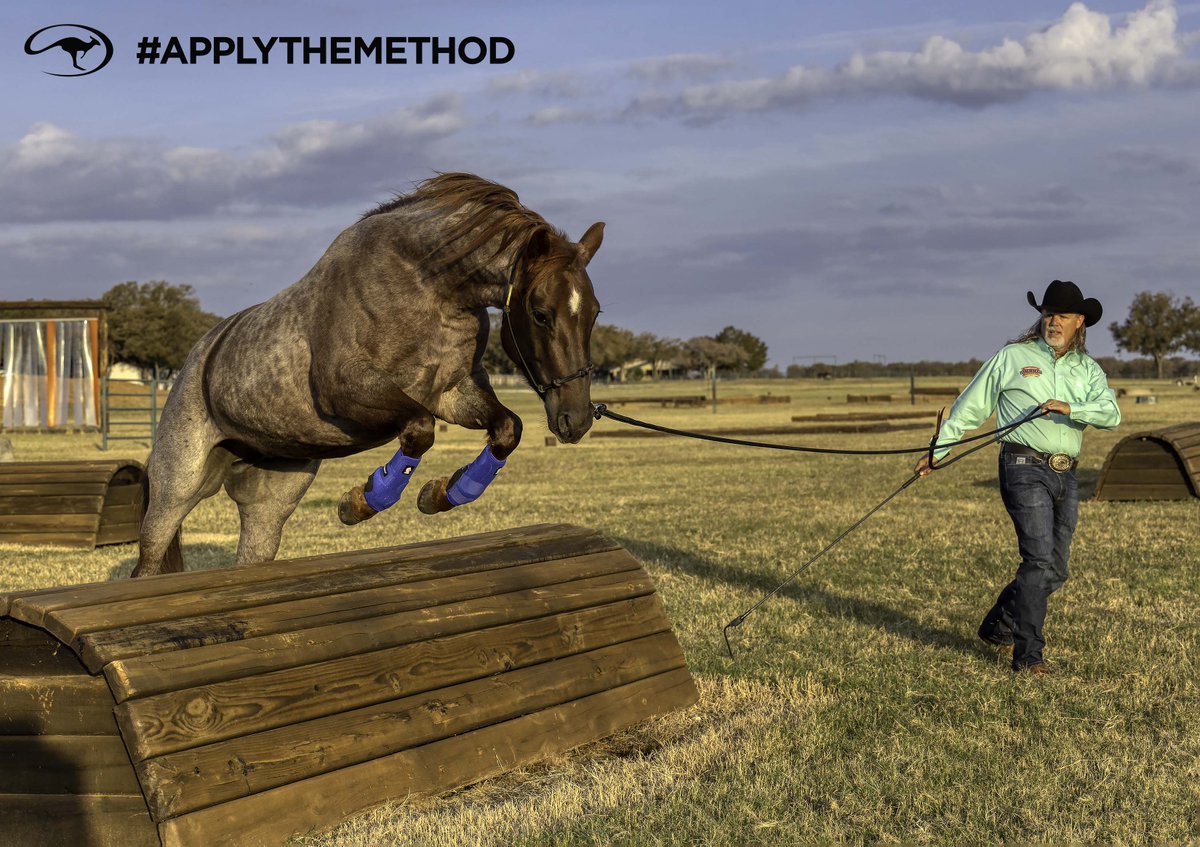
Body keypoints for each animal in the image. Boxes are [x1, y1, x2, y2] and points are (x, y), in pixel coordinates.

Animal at [133, 173, 603, 577]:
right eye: (540, 314)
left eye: (595, 312)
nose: (576, 420)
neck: (429, 286)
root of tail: (197, 356)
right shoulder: (347, 391)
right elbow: (420, 429)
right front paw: (363, 501)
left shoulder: (452, 394)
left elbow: (507, 428)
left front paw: (444, 493)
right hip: (179, 486)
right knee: (148, 562)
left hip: (271, 496)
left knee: (252, 552)